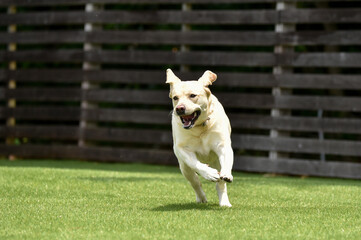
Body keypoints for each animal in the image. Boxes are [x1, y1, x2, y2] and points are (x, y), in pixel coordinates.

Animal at [166, 69, 233, 206]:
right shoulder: (181, 149)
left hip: (216, 162)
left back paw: (224, 202)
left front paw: (227, 174)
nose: (179, 108)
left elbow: (226, 161)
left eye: (192, 95)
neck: (199, 127)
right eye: (175, 98)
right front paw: (209, 173)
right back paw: (201, 198)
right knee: (195, 182)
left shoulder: (223, 145)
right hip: (184, 168)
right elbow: (195, 163)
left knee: (220, 184)